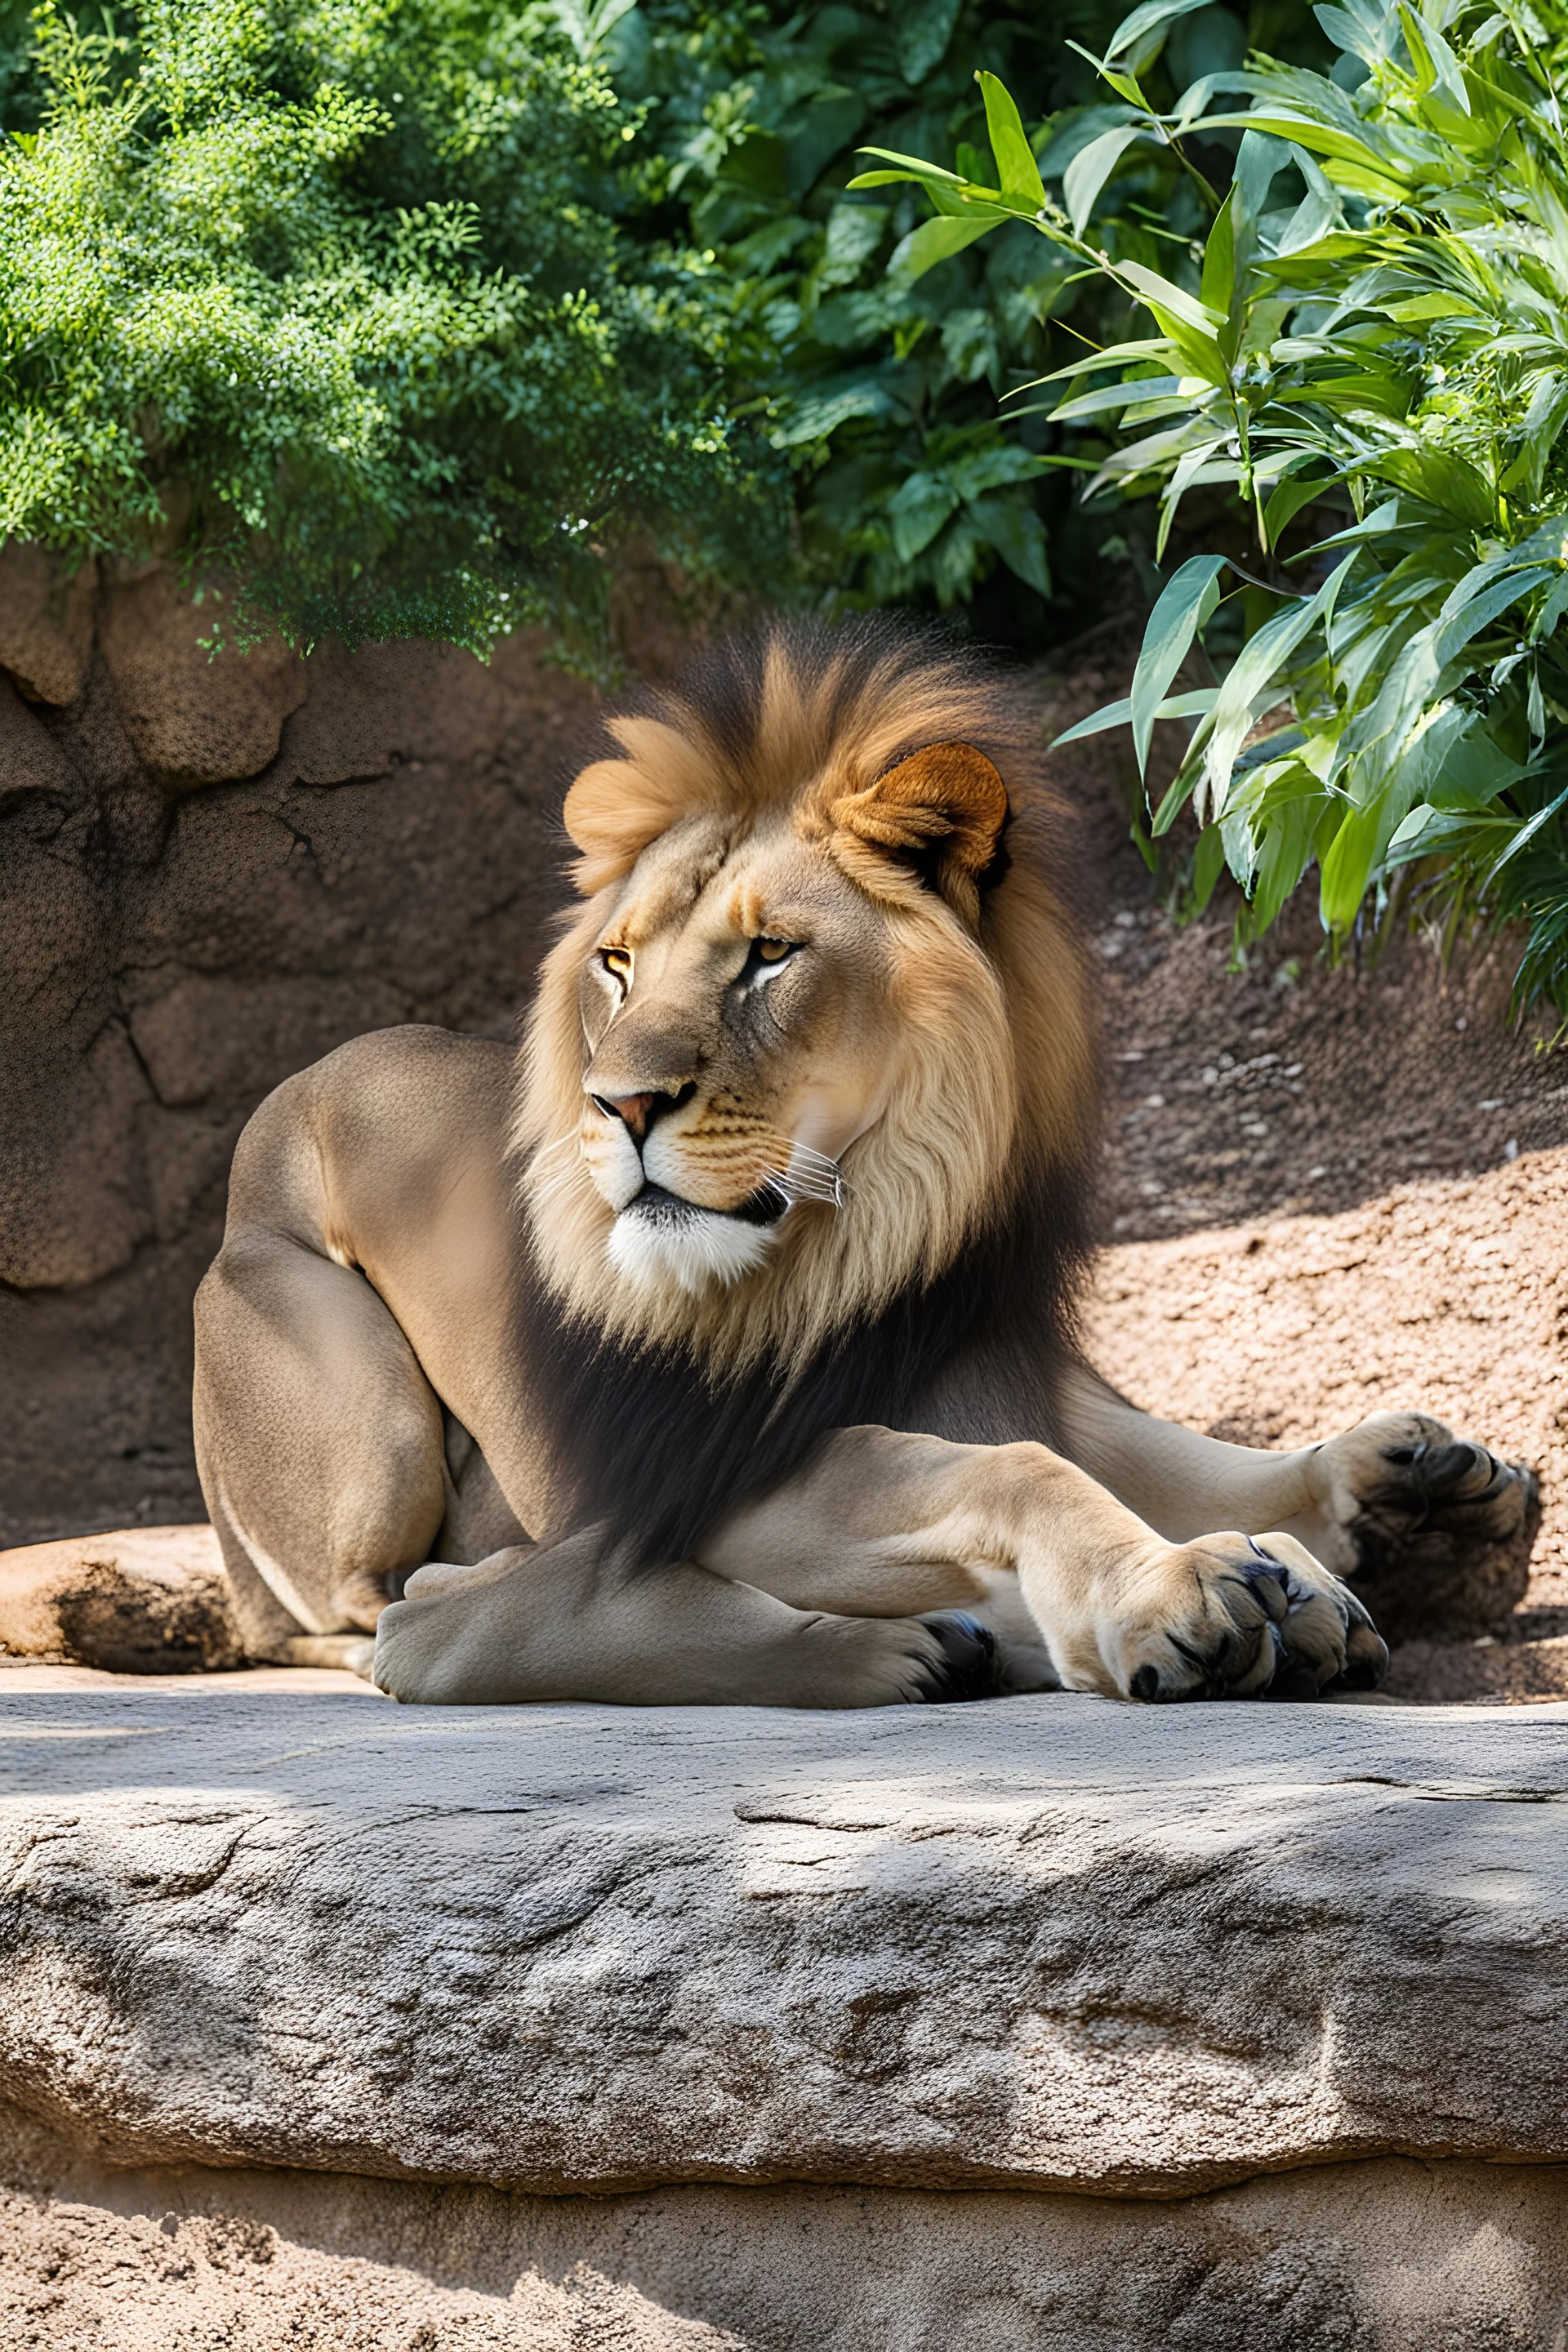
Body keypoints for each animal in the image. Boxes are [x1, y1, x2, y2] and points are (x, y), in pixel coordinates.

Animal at [190, 616, 1542, 1703]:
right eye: (618, 965)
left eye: (769, 955)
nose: (618, 1104)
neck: (878, 1231)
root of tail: (307, 1080)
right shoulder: (701, 1477)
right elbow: (1008, 1472)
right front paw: (1161, 1592)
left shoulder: (1013, 1365)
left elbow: (1141, 1455)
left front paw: (1391, 1513)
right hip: (362, 1418)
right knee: (340, 1610)